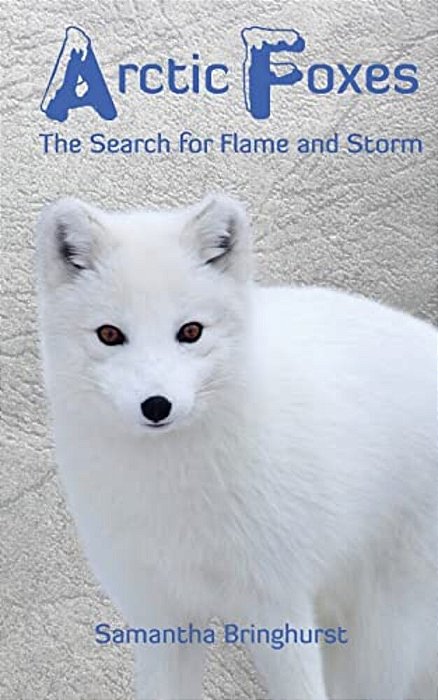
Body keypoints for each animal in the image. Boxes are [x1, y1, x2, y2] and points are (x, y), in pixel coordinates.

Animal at [36, 193, 437, 700]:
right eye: (109, 334)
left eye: (190, 331)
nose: (157, 405)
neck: (172, 493)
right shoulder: (161, 616)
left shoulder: (278, 607)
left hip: (383, 638)